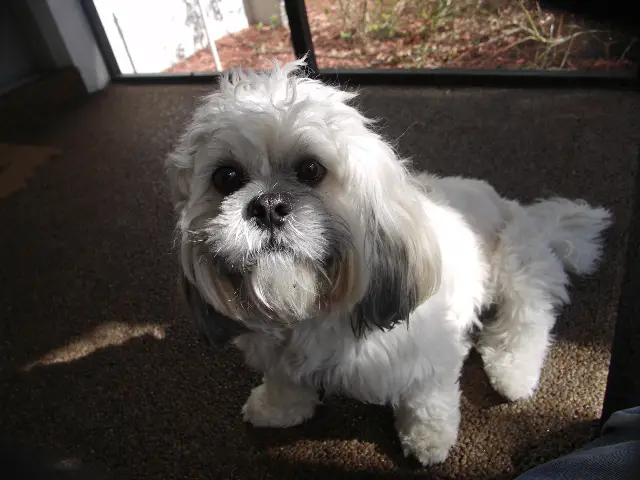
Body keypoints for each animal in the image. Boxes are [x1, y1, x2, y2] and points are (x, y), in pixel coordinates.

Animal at [168, 59, 612, 464]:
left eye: (311, 169)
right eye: (226, 177)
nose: (267, 206)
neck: (317, 307)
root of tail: (524, 211)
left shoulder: (431, 356)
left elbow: (427, 400)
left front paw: (429, 440)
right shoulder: (278, 352)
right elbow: (284, 379)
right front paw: (276, 407)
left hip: (516, 265)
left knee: (528, 320)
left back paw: (512, 373)